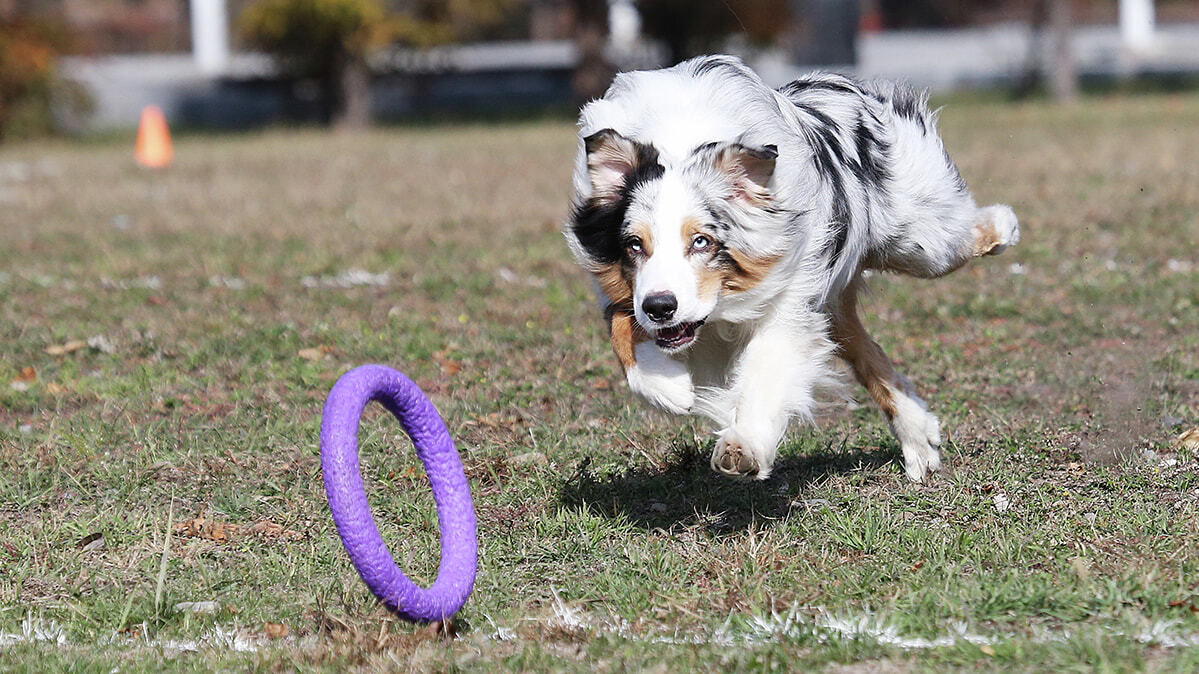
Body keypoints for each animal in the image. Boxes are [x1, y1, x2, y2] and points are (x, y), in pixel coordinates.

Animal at [563, 55, 1021, 479]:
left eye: (701, 241)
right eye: (634, 245)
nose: (660, 308)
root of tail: (831, 83)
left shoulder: (788, 296)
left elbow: (766, 369)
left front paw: (743, 445)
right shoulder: (620, 287)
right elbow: (622, 329)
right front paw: (670, 387)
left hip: (921, 242)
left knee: (958, 237)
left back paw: (1004, 225)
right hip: (831, 304)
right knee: (869, 353)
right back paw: (919, 437)